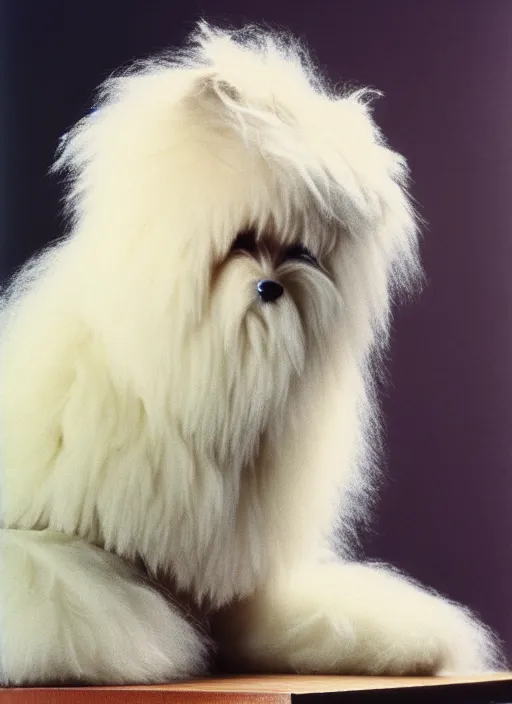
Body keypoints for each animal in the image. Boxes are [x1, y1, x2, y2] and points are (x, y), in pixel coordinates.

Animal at [0, 23, 504, 688]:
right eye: (242, 241)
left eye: (302, 253)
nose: (271, 287)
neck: (205, 382)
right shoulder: (53, 544)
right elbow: (74, 593)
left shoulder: (246, 582)